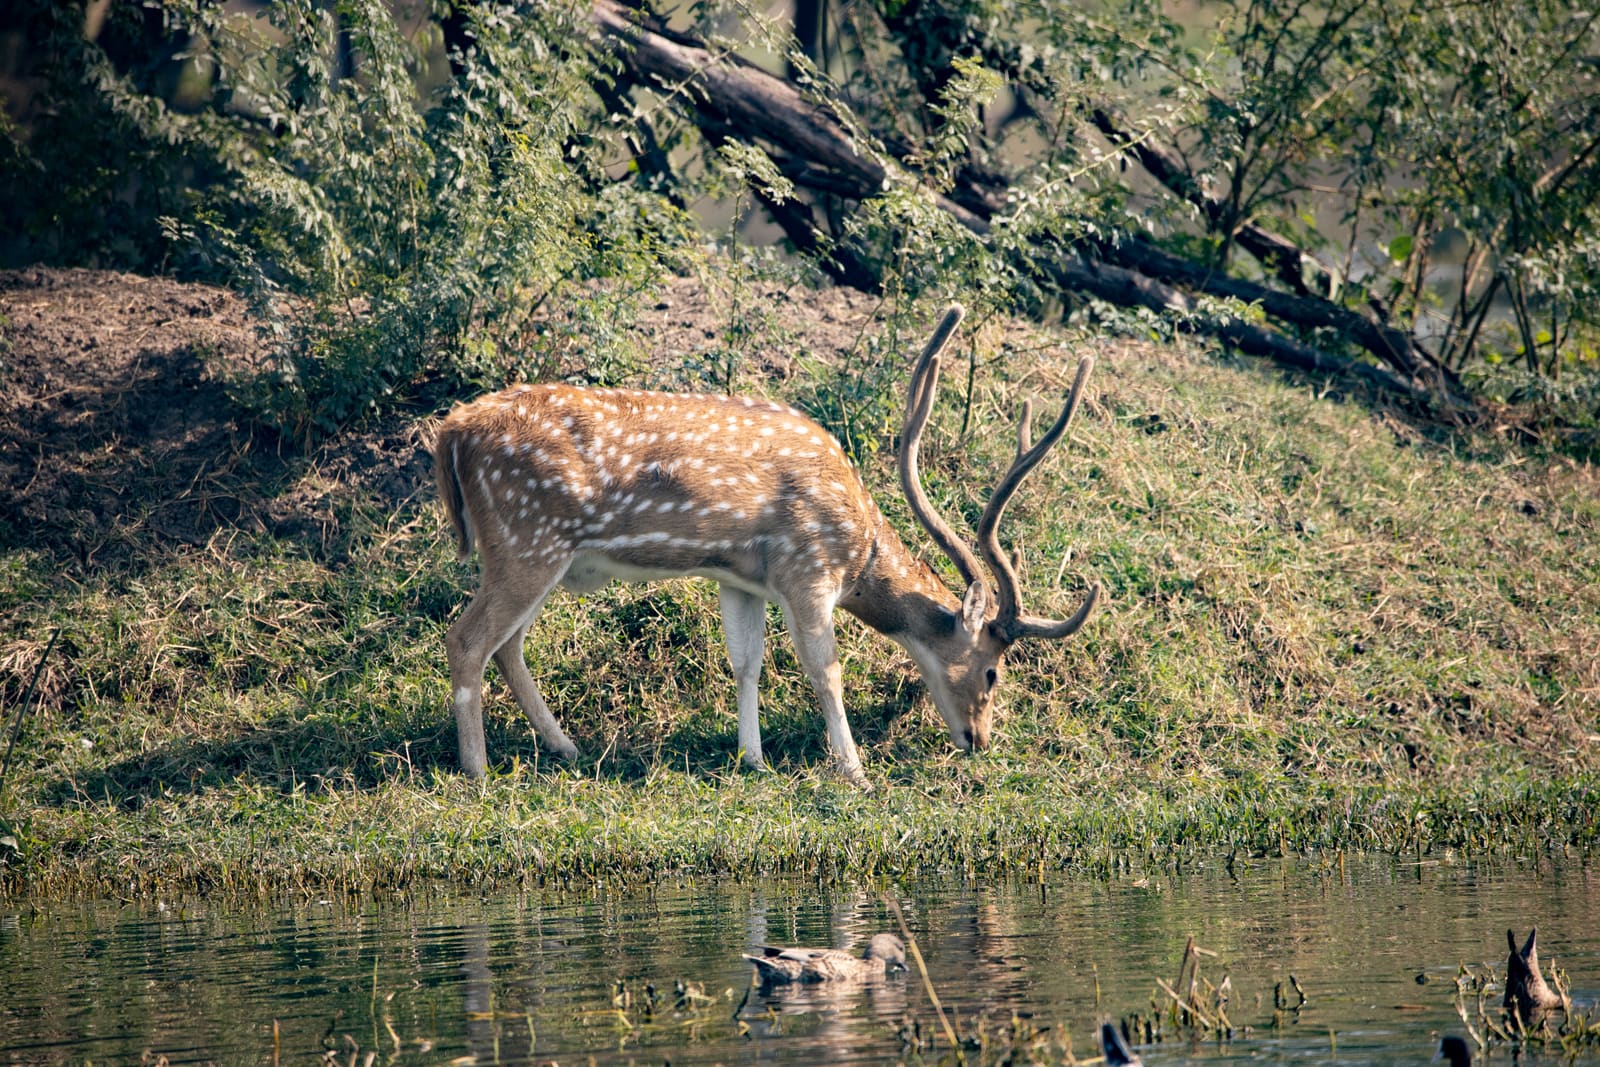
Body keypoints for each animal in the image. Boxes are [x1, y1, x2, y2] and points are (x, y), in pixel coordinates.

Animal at [430, 304, 1098, 787]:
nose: (977, 741)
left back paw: (565, 746)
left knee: (508, 645)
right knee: (467, 639)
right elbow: (825, 669)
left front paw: (751, 758)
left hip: (535, 555)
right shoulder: (808, 570)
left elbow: (746, 661)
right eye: (991, 671)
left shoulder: (740, 578)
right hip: (526, 539)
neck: (857, 552)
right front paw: (854, 772)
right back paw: (477, 769)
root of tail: (450, 432)